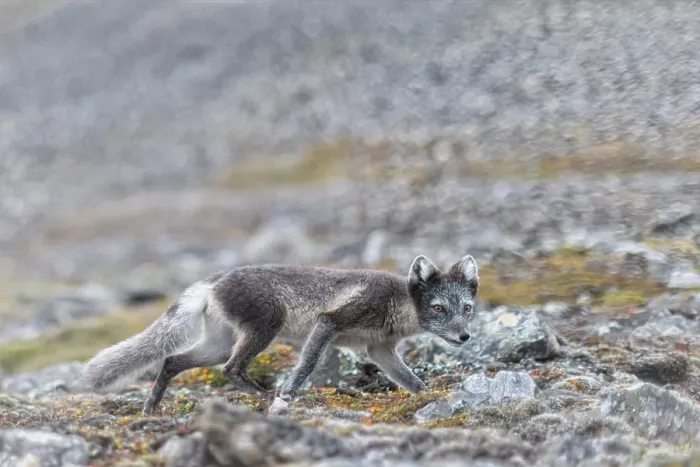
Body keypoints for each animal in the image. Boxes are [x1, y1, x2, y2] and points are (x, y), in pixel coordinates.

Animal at [79, 254, 479, 415]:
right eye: (438, 308)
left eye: (467, 309)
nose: (464, 338)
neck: (397, 303)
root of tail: (214, 279)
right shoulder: (330, 322)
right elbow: (306, 364)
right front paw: (287, 394)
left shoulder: (380, 350)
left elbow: (410, 380)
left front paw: (430, 395)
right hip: (265, 327)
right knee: (230, 369)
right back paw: (265, 395)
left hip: (219, 342)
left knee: (173, 360)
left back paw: (150, 407)